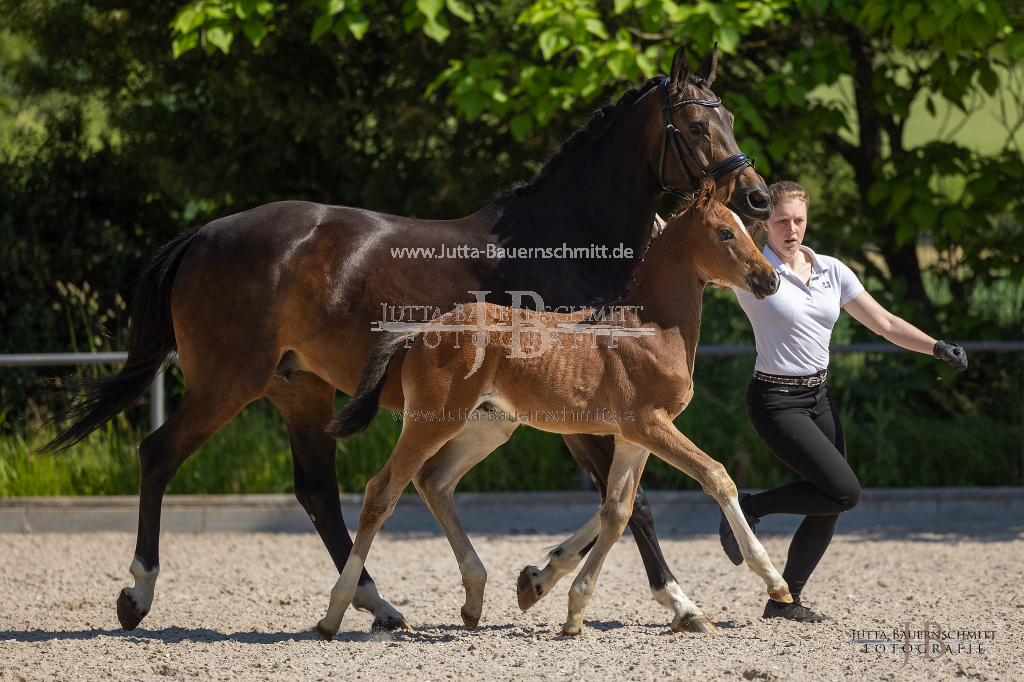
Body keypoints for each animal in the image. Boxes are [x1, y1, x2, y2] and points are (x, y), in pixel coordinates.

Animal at [317, 176, 782, 638]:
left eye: (748, 229)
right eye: (725, 233)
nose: (771, 279)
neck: (649, 329)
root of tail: (422, 330)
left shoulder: (634, 437)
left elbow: (617, 510)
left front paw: (566, 604)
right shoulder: (650, 425)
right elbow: (716, 476)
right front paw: (772, 580)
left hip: (488, 426)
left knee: (435, 481)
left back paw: (473, 600)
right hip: (433, 419)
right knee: (383, 491)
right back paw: (336, 614)